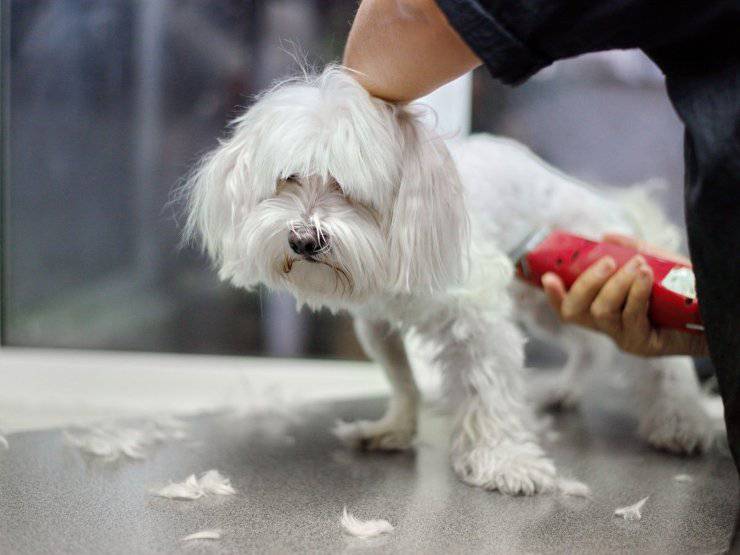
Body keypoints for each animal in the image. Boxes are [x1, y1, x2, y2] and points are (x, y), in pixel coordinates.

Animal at [185, 67, 716, 498]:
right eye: (288, 178)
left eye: (349, 189)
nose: (303, 239)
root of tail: (605, 202)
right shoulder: (377, 326)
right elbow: (402, 380)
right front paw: (395, 428)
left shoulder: (479, 319)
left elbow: (488, 388)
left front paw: (502, 462)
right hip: (551, 299)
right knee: (590, 348)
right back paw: (565, 390)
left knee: (654, 359)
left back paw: (680, 420)